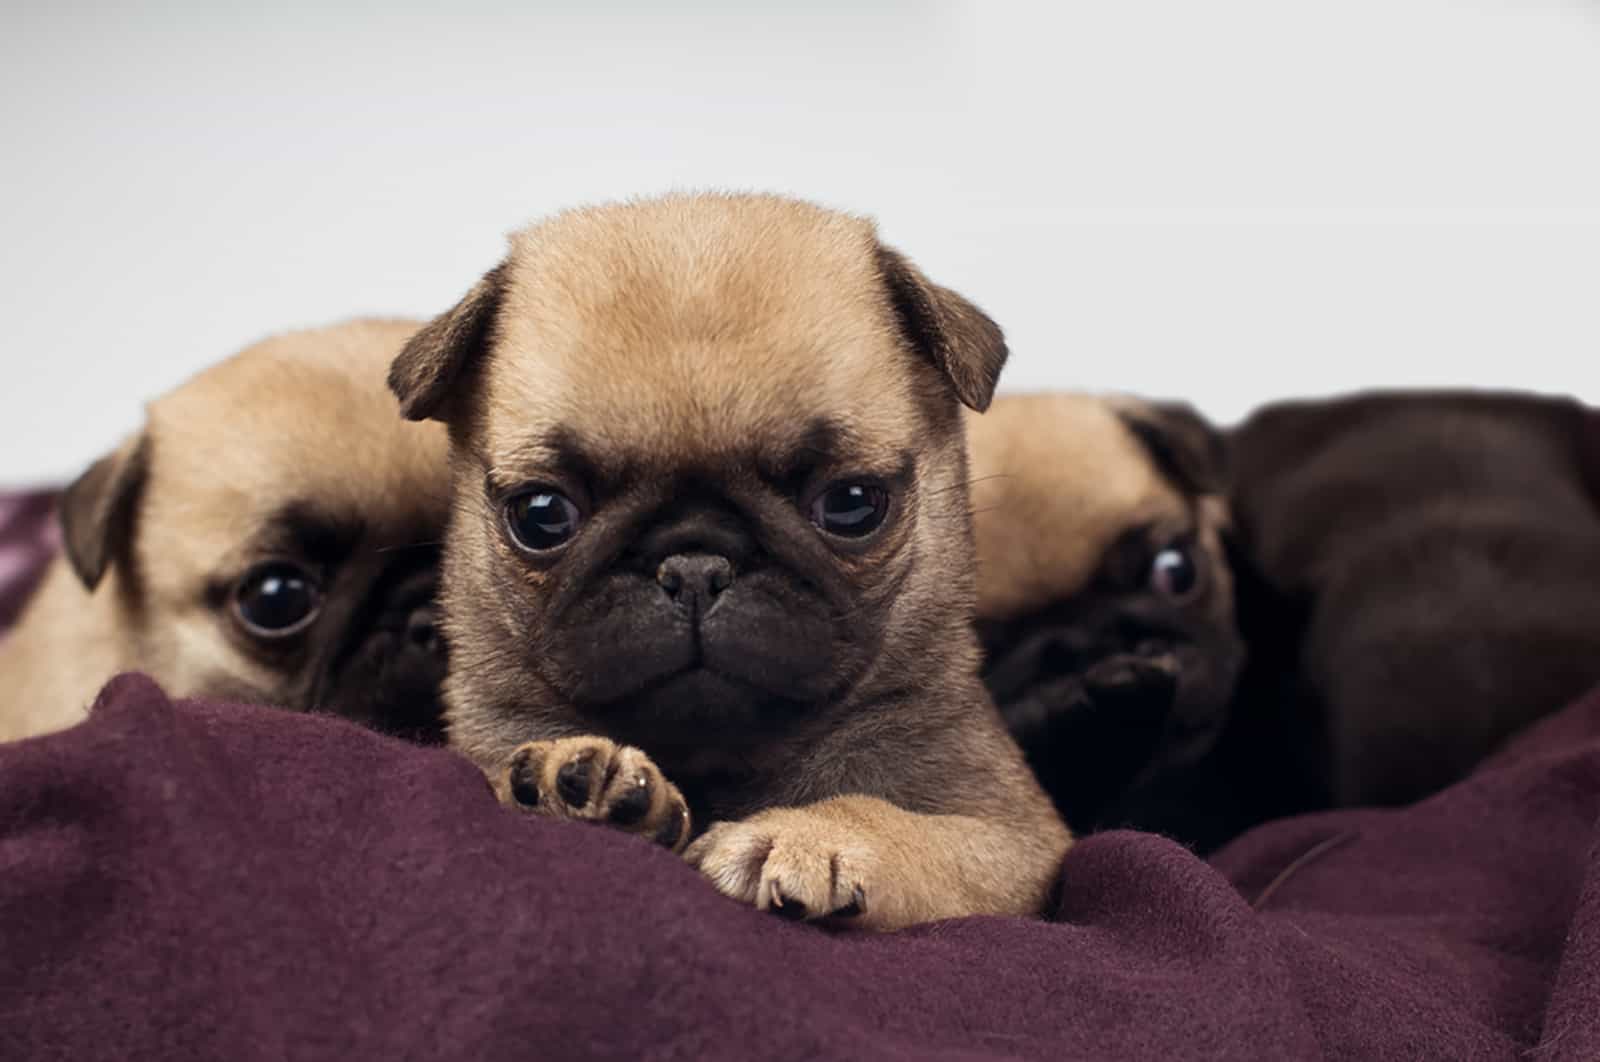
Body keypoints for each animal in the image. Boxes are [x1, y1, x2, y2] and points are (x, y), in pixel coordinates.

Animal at [384, 191, 1075, 927]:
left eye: (852, 503)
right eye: (542, 515)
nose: (695, 565)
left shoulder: (1016, 839)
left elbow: (900, 821)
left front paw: (808, 836)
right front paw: (570, 781)